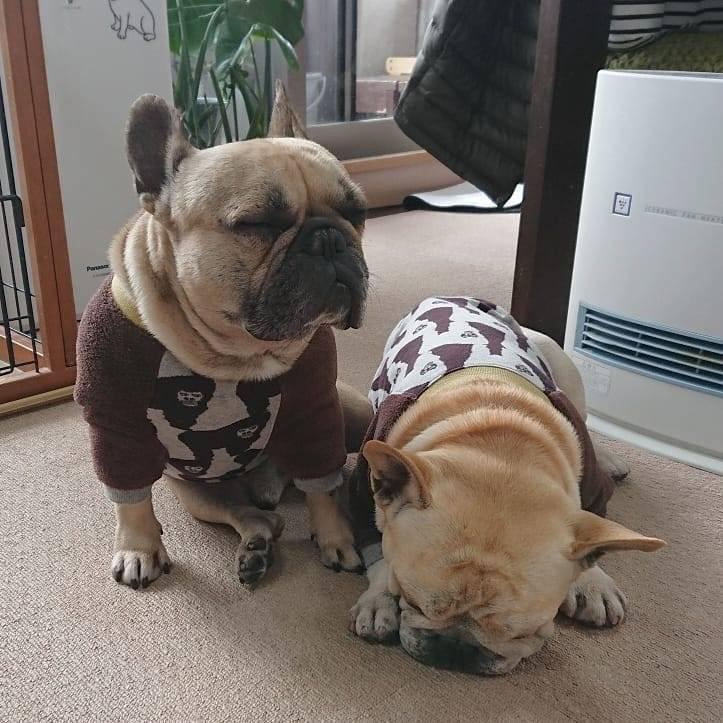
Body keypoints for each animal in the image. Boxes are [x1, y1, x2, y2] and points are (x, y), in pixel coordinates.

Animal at [75, 83, 371, 589]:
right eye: (257, 224)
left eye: (358, 213)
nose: (331, 238)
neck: (232, 354)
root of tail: (268, 483)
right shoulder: (115, 424)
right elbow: (130, 497)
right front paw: (138, 547)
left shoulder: (317, 409)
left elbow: (322, 486)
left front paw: (337, 537)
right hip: (194, 493)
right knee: (252, 516)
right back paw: (255, 547)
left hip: (352, 411)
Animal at [348, 296, 666, 674]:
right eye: (413, 602)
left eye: (521, 633)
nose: (456, 648)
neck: (498, 441)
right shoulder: (364, 497)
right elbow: (378, 551)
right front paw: (378, 600)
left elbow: (592, 528)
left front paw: (592, 581)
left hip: (563, 369)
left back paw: (609, 460)